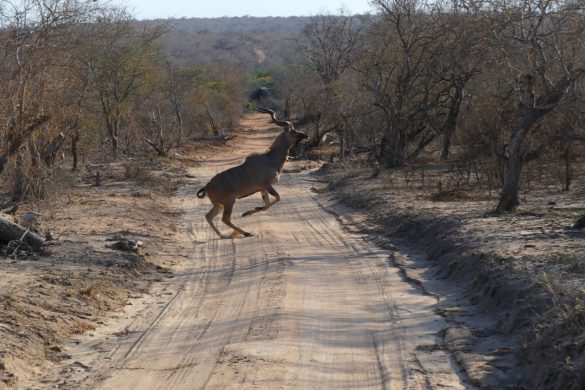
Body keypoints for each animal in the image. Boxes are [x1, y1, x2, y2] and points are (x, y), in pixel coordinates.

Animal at [196, 108, 308, 239]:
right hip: (229, 203)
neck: (270, 159)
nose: (306, 135)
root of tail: (207, 186)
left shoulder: (263, 189)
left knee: (209, 216)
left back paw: (222, 235)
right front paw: (247, 213)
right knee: (225, 219)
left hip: (219, 205)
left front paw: (249, 211)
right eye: (293, 132)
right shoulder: (267, 185)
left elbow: (267, 205)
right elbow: (277, 198)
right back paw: (246, 233)